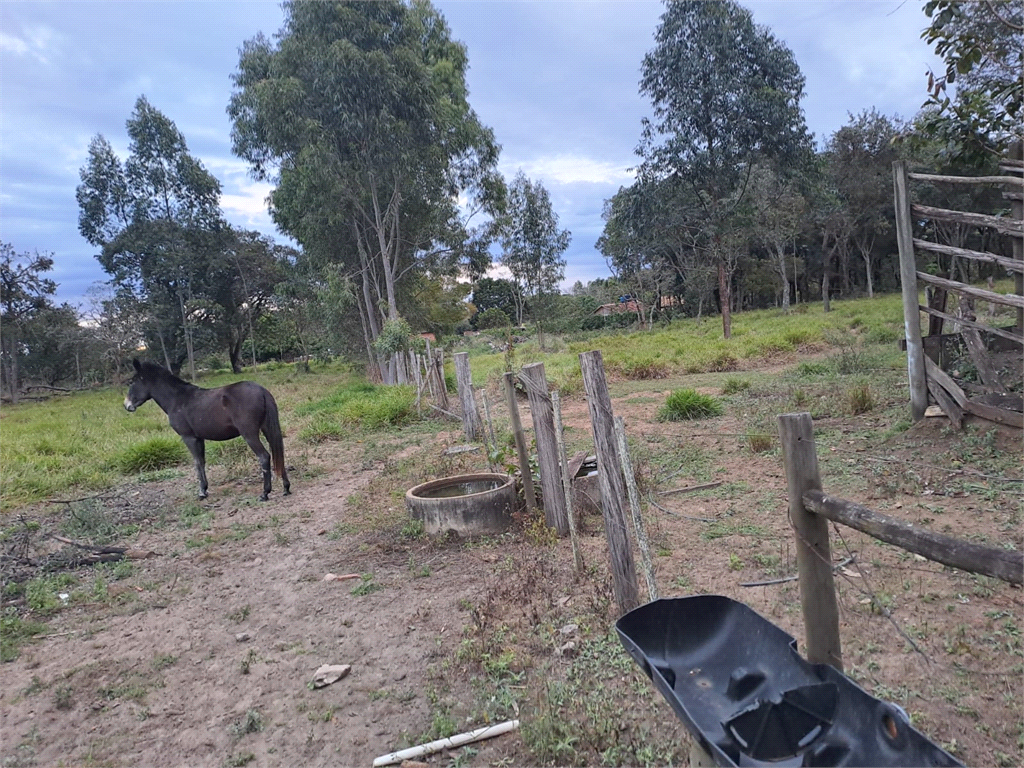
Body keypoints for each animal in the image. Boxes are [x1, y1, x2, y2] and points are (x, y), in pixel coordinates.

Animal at [126, 358, 292, 501]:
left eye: (133, 381)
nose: (127, 405)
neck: (177, 399)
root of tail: (262, 390)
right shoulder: (199, 438)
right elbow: (202, 461)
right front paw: (204, 489)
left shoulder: (189, 437)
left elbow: (197, 463)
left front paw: (201, 492)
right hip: (267, 429)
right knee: (278, 452)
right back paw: (286, 487)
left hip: (249, 434)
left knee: (264, 457)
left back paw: (265, 493)